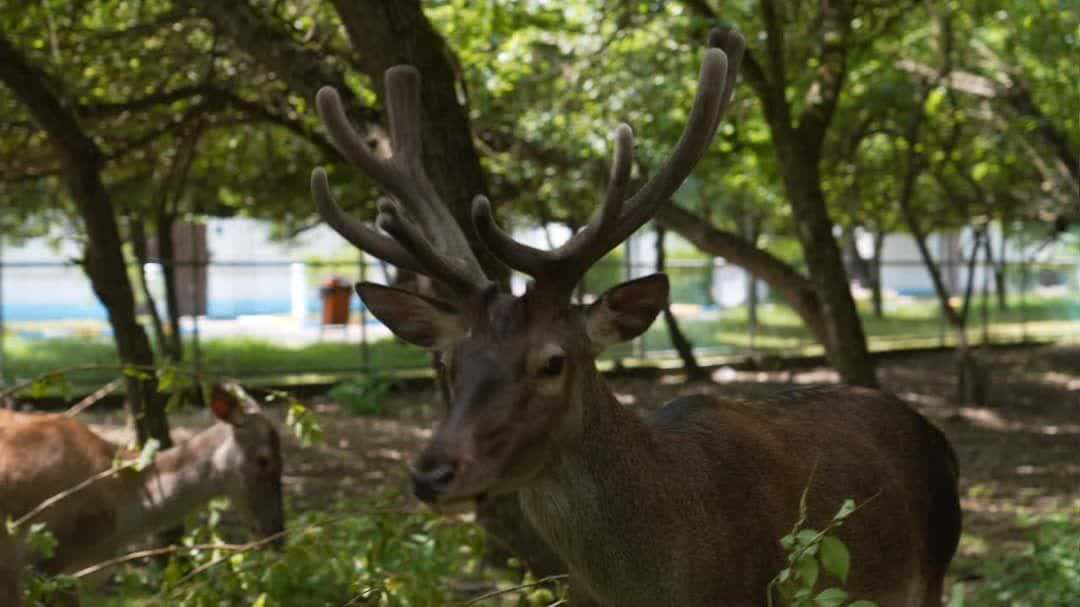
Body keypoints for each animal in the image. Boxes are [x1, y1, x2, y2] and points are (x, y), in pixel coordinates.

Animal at [311, 28, 963, 604]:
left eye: (553, 362)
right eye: (449, 362)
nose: (431, 475)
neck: (661, 583)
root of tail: (931, 430)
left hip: (935, 567)